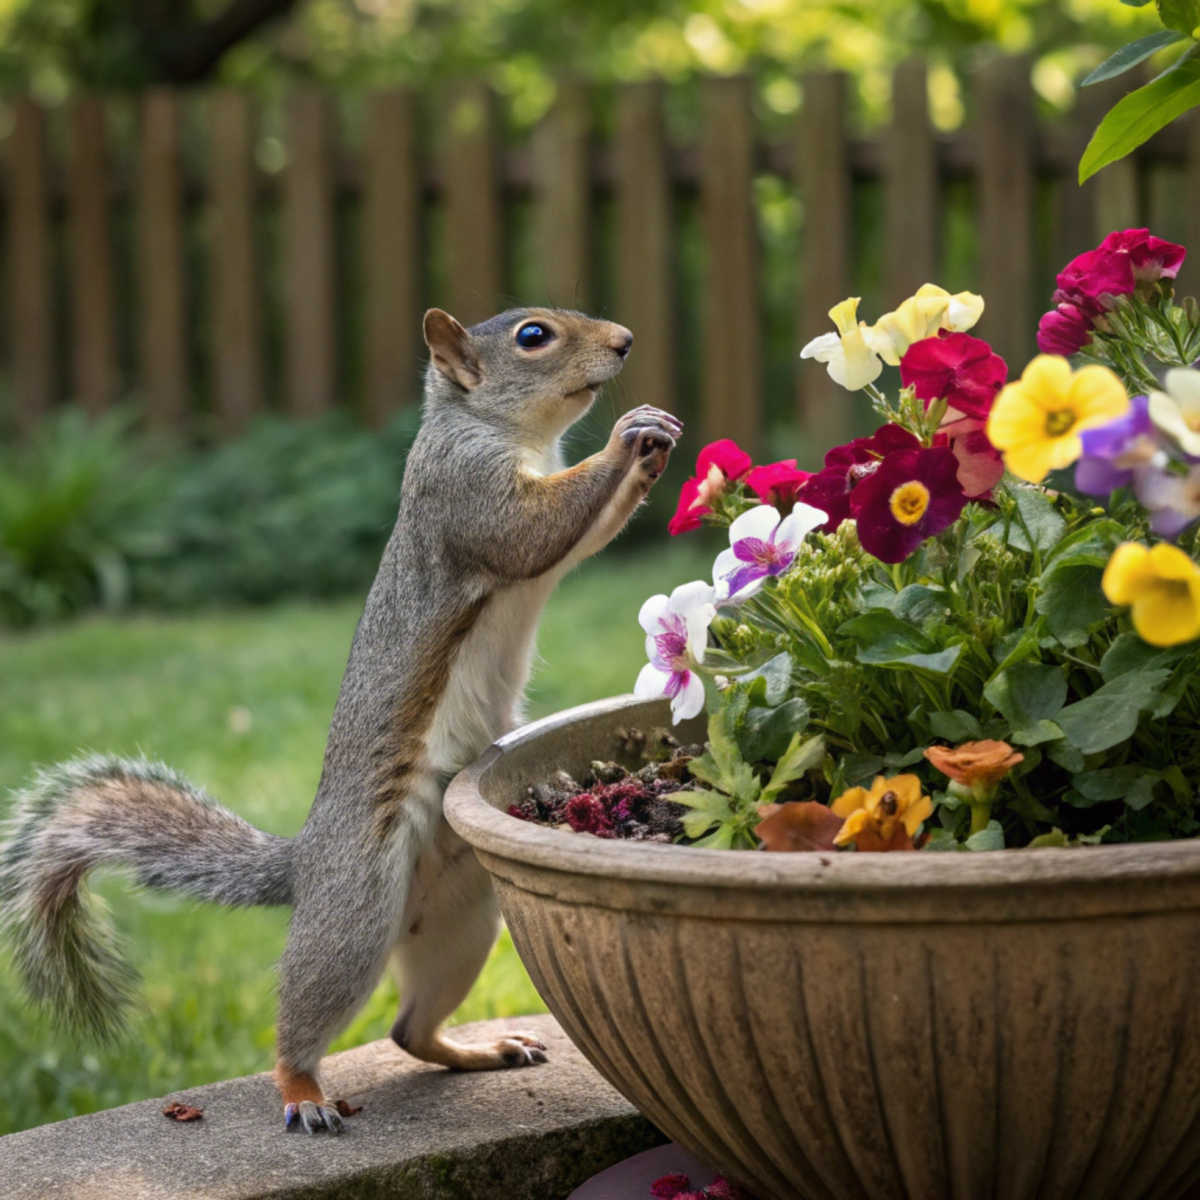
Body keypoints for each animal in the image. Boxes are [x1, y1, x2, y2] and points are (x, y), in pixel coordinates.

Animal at [0, 305, 680, 1135]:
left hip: (463, 915)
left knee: (409, 1029)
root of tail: (308, 861)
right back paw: (303, 1093)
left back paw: (479, 1051)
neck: (505, 430)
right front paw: (628, 434)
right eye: (532, 337)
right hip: (357, 907)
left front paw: (653, 441)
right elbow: (532, 529)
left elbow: (580, 535)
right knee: (310, 1012)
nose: (624, 342)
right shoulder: (465, 493)